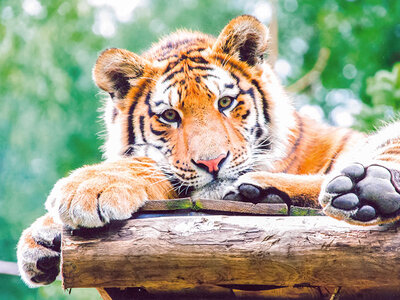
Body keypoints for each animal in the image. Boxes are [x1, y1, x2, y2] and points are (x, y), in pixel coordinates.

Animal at [17, 15, 400, 288]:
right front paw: (42, 240)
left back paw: (363, 190)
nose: (213, 162)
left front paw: (85, 189)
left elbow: (144, 167)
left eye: (226, 102)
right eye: (170, 116)